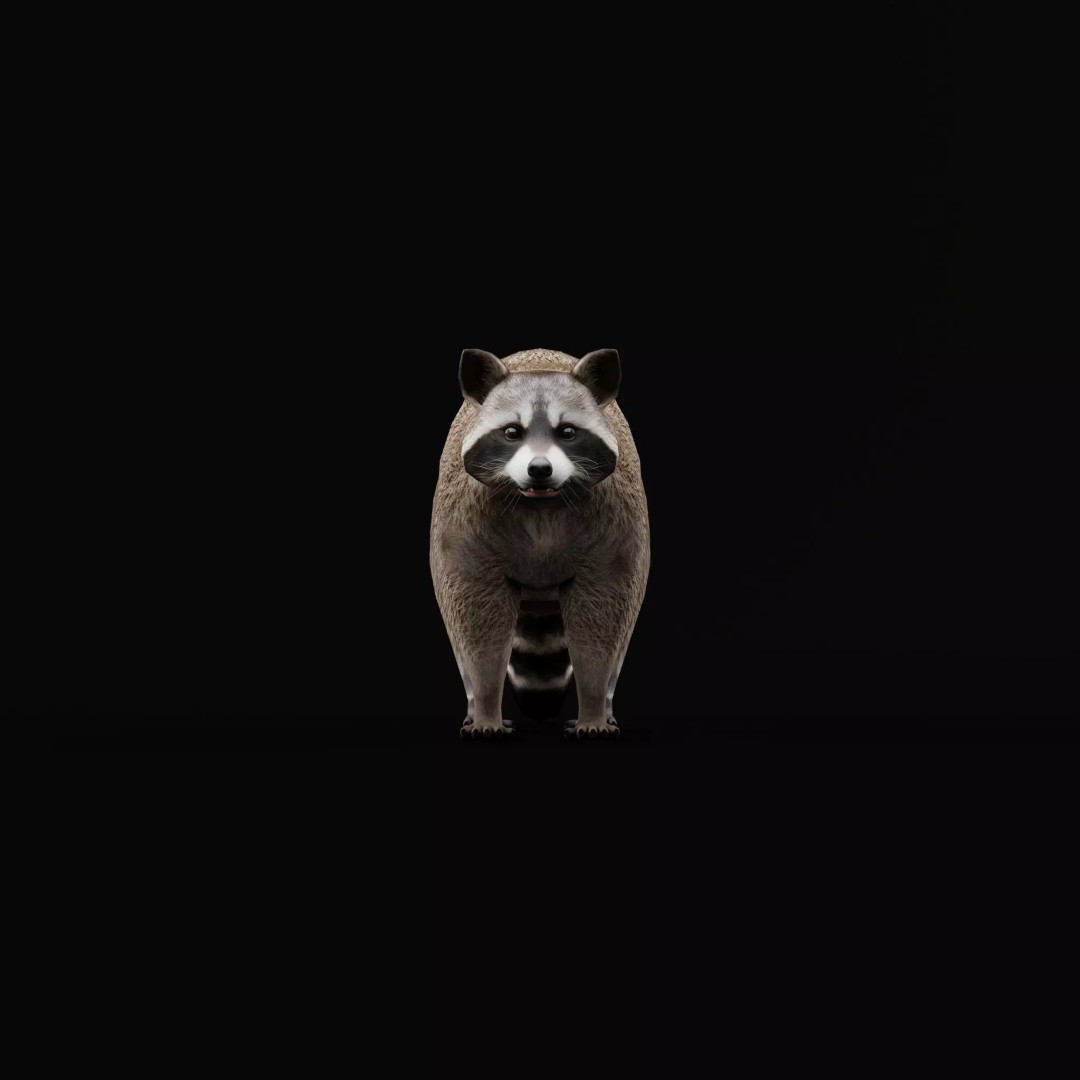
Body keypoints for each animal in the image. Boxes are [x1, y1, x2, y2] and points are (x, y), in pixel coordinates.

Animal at [430, 348, 650, 738]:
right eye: (511, 432)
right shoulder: (464, 516)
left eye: (568, 432)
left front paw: (594, 709)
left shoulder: (616, 517)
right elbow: (475, 620)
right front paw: (485, 709)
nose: (539, 469)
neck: (541, 502)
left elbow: (603, 618)